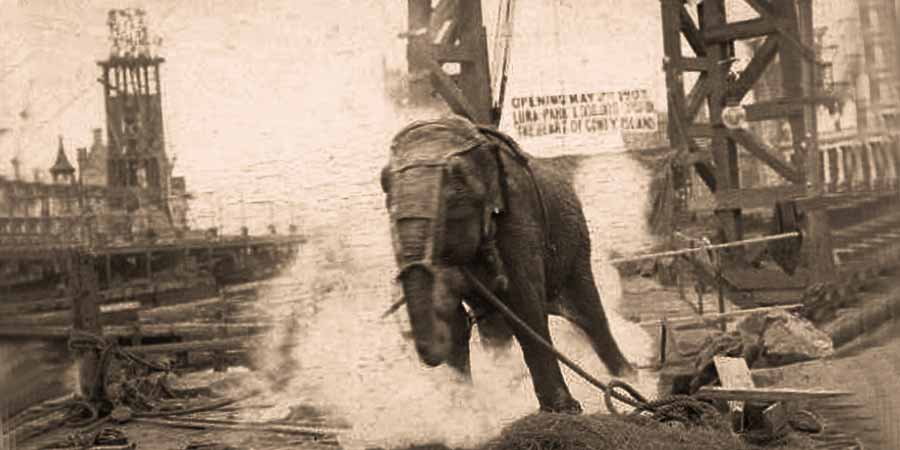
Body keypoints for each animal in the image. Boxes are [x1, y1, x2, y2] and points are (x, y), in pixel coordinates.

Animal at [380, 115, 632, 414]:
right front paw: (466, 413)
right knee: (495, 328)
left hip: (576, 243)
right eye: (384, 183)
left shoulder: (519, 219)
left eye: (455, 184)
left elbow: (524, 307)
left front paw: (564, 410)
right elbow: (454, 318)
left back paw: (628, 378)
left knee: (589, 313)